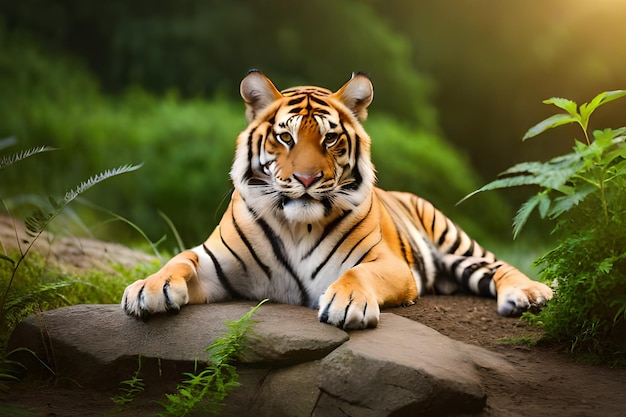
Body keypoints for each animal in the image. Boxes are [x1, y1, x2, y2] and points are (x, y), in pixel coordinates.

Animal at [122, 69, 552, 328]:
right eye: (285, 136)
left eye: (330, 139)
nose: (307, 178)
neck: (295, 225)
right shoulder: (218, 268)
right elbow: (180, 259)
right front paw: (148, 288)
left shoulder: (390, 264)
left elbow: (356, 273)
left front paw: (347, 303)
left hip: (451, 237)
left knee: (498, 266)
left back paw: (530, 294)